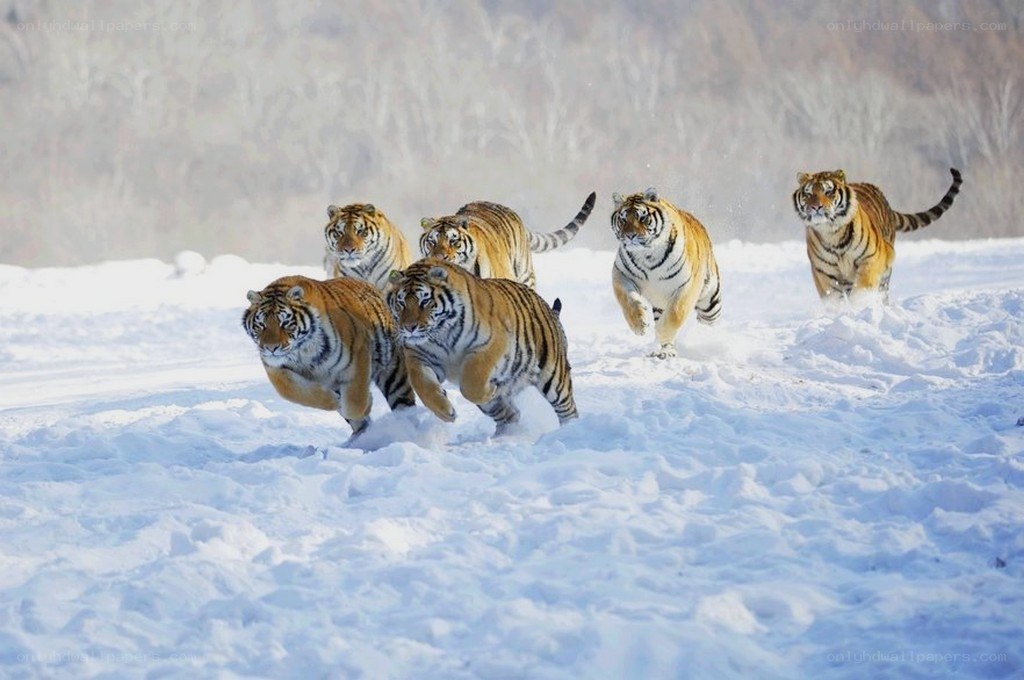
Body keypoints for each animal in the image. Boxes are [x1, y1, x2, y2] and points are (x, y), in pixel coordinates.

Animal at [242, 274, 415, 437]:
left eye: (285, 323)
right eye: (261, 325)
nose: (271, 348)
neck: (302, 352)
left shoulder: (357, 354)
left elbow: (354, 402)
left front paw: (366, 405)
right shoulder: (274, 369)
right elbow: (292, 392)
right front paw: (334, 401)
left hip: (392, 373)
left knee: (402, 402)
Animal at [384, 260, 577, 435]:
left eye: (424, 301)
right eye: (401, 303)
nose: (409, 327)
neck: (441, 334)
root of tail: (547, 308)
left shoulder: (489, 345)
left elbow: (471, 383)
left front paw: (490, 390)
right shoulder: (418, 356)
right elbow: (422, 384)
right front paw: (446, 412)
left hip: (554, 378)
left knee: (568, 410)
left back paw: (569, 431)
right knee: (510, 415)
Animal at [611, 187, 722, 359]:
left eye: (642, 218)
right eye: (623, 219)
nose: (630, 236)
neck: (647, 255)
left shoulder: (688, 285)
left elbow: (675, 313)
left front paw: (661, 334)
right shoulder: (621, 275)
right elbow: (628, 300)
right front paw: (639, 324)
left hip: (710, 302)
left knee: (708, 321)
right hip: (660, 305)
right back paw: (665, 352)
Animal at [793, 167, 962, 301]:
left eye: (828, 191)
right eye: (808, 194)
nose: (816, 207)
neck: (831, 232)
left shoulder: (871, 259)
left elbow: (862, 289)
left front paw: (858, 307)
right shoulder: (824, 272)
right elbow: (834, 299)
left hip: (885, 270)